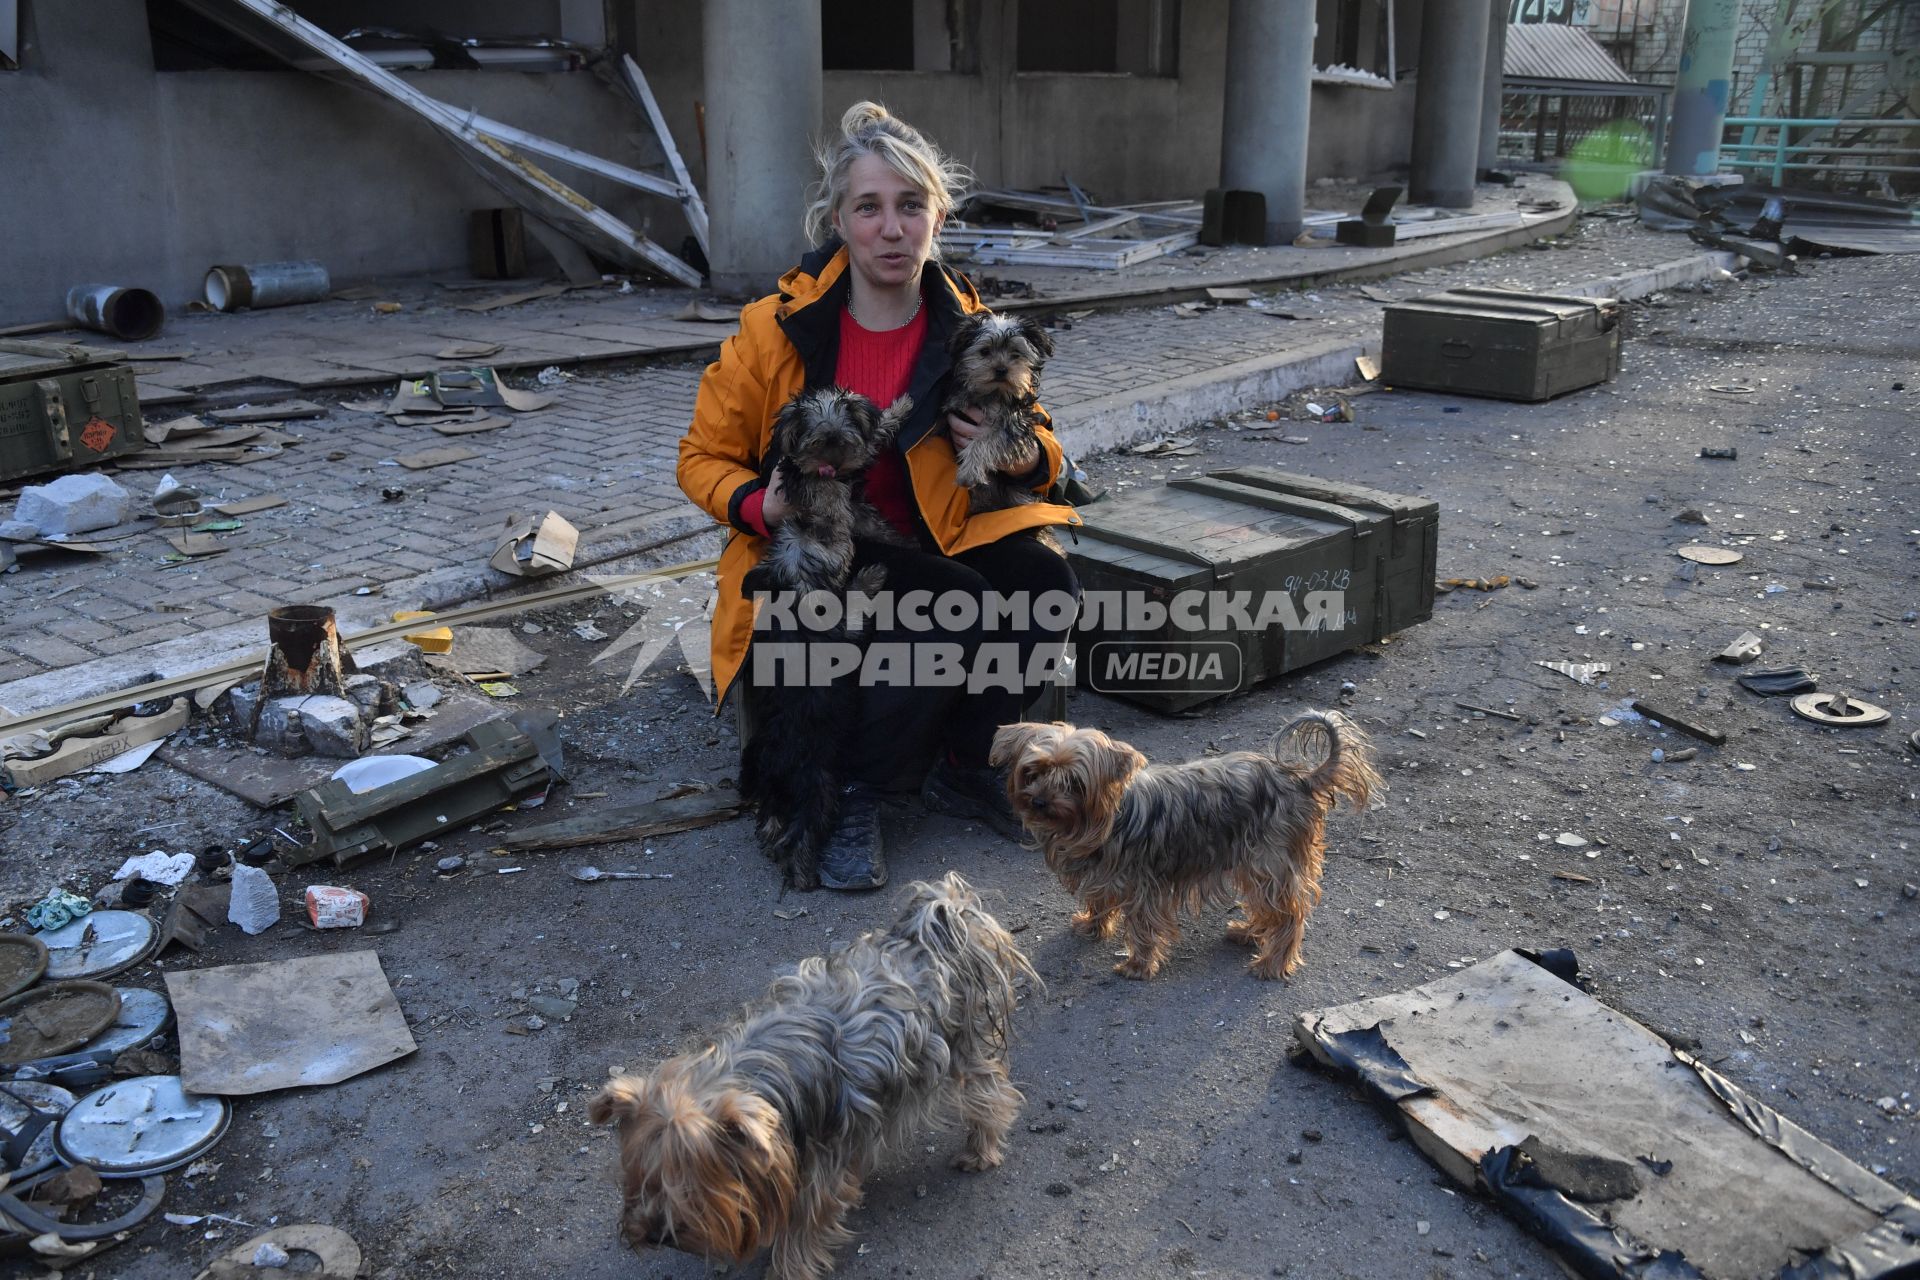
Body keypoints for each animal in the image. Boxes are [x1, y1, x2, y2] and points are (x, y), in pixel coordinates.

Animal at [587, 875, 1044, 1280]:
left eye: (694, 1187)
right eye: (641, 1177)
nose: (655, 1234)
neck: (749, 1074)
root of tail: (927, 938)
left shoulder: (820, 1166)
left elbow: (804, 1228)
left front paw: (786, 1270)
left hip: (955, 1055)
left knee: (990, 1092)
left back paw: (980, 1151)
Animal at [737, 387, 910, 890]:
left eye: (843, 416)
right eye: (810, 428)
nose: (832, 440)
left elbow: (862, 457)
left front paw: (894, 411)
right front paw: (868, 571)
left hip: (780, 787)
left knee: (774, 821)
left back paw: (773, 843)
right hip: (818, 782)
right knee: (803, 829)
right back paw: (802, 872)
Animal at [940, 308, 1059, 510]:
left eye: (1016, 353)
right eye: (984, 351)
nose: (1001, 369)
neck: (994, 394)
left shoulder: (1015, 424)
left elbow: (986, 440)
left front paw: (968, 472)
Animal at [990, 710, 1382, 982]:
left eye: (1074, 783)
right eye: (1034, 771)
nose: (1038, 802)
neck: (1106, 820)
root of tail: (1301, 780)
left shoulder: (1144, 886)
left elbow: (1143, 927)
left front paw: (1137, 966)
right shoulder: (1105, 874)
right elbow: (1100, 899)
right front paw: (1093, 925)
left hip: (1269, 861)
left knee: (1288, 915)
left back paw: (1273, 963)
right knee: (1268, 908)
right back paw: (1247, 932)